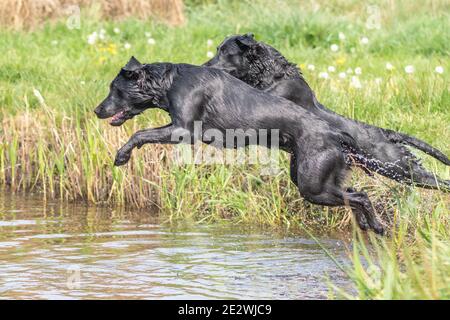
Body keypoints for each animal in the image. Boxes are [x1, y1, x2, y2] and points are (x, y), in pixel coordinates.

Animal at [94, 57, 398, 232]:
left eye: (114, 89)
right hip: (313, 178)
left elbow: (139, 134)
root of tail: (335, 133)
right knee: (354, 193)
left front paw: (121, 156)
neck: (170, 82)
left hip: (313, 186)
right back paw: (368, 225)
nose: (97, 110)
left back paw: (377, 226)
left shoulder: (183, 129)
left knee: (361, 196)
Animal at [206, 32, 450, 192]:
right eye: (218, 50)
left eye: (224, 52)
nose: (204, 66)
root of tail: (386, 133)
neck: (272, 74)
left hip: (400, 167)